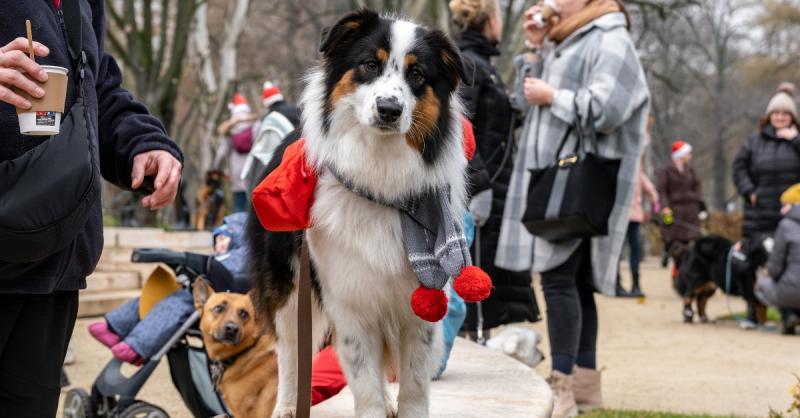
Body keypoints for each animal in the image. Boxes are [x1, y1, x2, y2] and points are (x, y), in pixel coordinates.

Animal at [247, 9, 466, 418]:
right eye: (369, 65)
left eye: (417, 74)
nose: (389, 110)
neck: (381, 182)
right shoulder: (349, 298)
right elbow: (363, 379)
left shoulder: (419, 304)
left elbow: (414, 381)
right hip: (290, 285)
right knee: (290, 350)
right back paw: (287, 406)